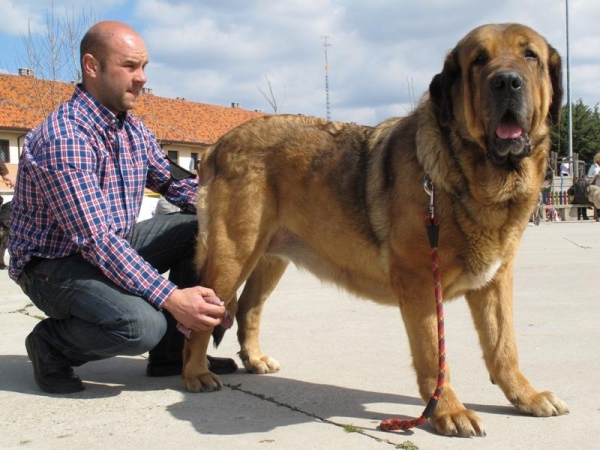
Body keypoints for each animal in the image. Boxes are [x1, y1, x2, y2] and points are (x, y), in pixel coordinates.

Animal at [183, 23, 568, 436]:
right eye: (479, 60)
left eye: (530, 56)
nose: (507, 81)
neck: (477, 177)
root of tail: (217, 146)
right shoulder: (420, 283)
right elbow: (434, 355)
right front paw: (448, 410)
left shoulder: (496, 281)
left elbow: (504, 346)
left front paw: (525, 396)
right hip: (232, 256)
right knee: (201, 316)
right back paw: (195, 373)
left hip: (269, 260)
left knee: (248, 310)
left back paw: (254, 359)